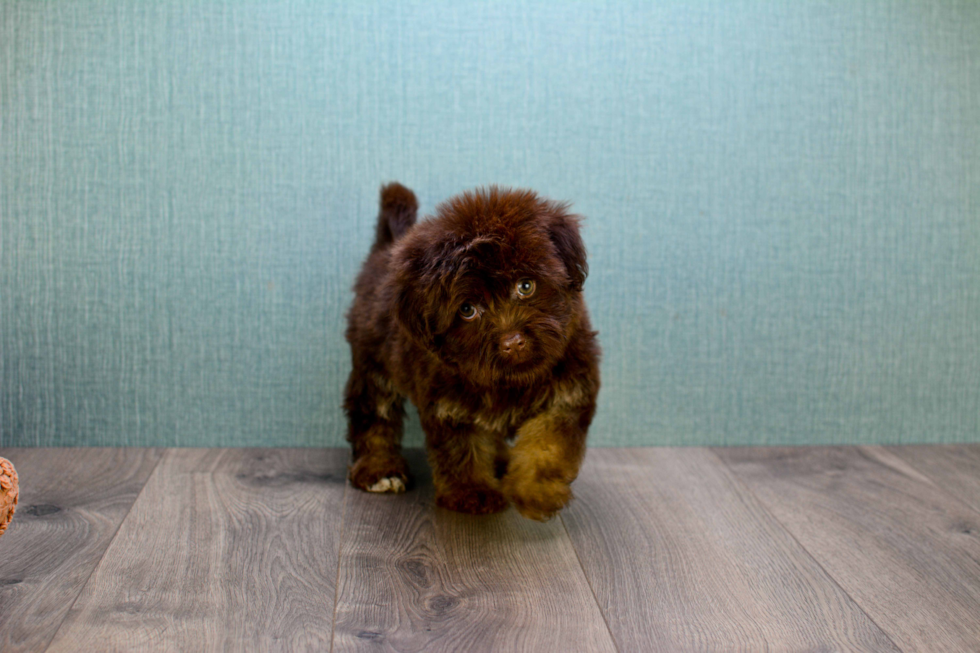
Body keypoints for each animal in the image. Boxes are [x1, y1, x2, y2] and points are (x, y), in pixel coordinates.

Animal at [344, 182, 604, 520]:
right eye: (467, 310)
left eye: (526, 286)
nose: (513, 341)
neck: (511, 378)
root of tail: (385, 247)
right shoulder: (449, 404)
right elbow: (461, 449)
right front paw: (473, 492)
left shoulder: (569, 389)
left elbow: (550, 443)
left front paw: (535, 491)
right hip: (372, 361)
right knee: (374, 412)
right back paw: (379, 468)